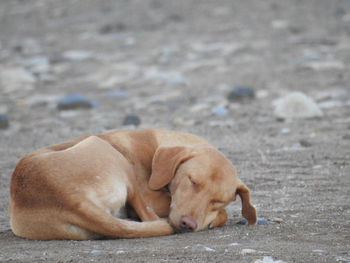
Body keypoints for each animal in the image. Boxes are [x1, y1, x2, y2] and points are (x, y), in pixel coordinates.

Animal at [9, 129, 258, 240]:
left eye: (216, 200)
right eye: (192, 181)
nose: (188, 224)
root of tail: (69, 198)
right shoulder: (154, 198)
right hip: (105, 150)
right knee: (148, 216)